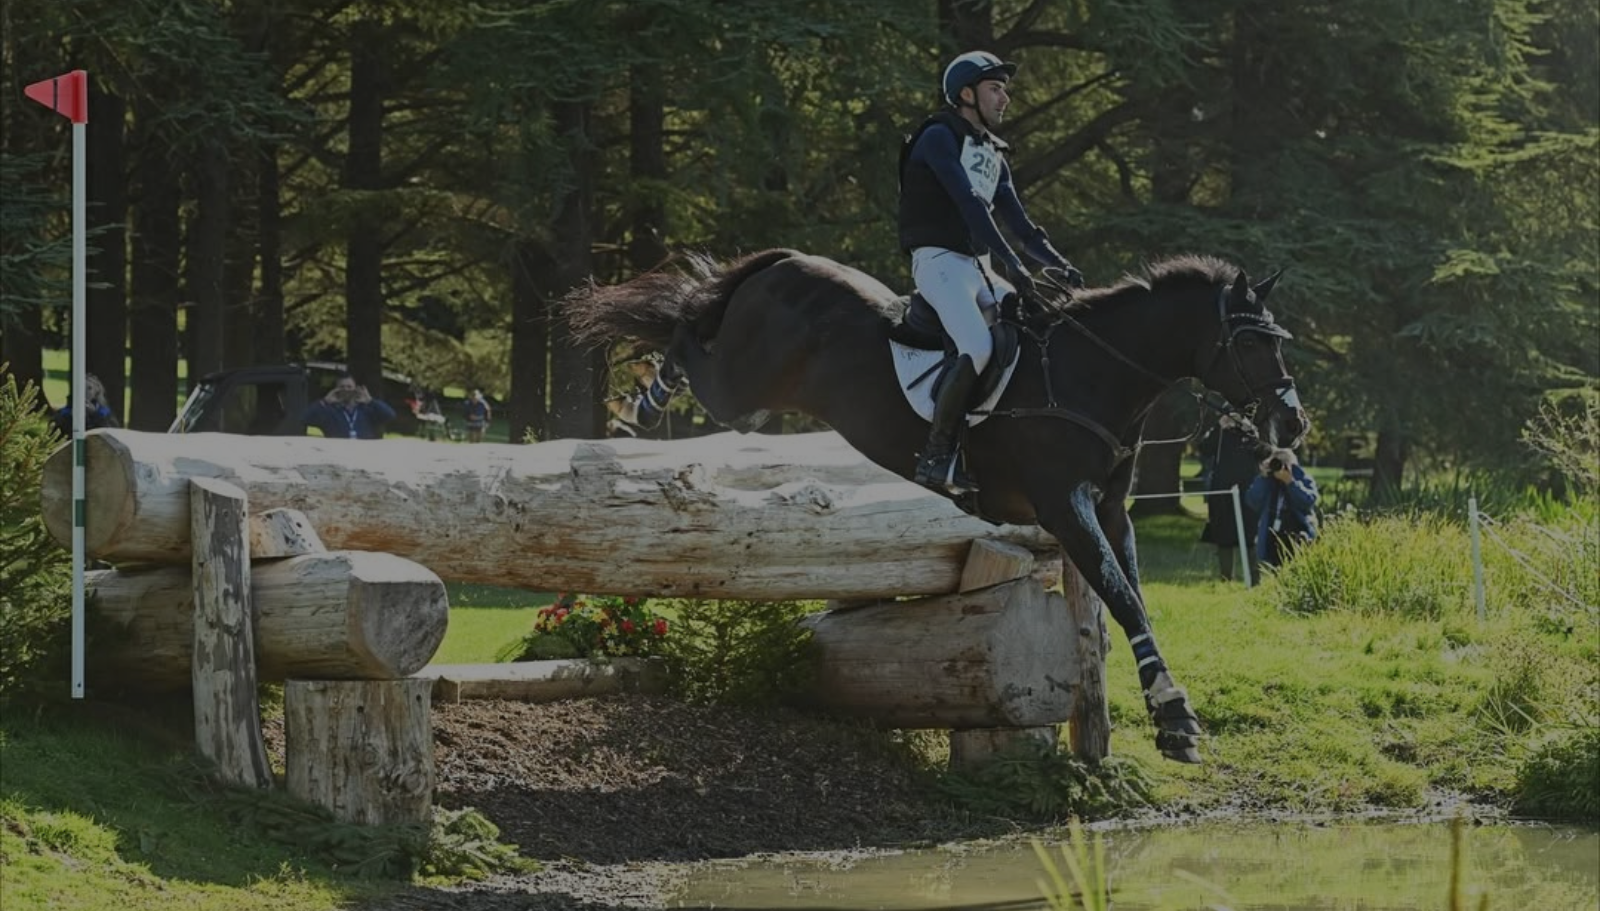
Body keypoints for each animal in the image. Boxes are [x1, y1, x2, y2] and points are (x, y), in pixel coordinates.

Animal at [562, 249, 1310, 763]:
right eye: (1252, 341)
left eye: (1277, 339)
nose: (1294, 424)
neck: (1093, 374)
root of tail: (784, 260)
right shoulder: (1063, 506)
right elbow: (1123, 599)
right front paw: (1176, 715)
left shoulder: (1110, 510)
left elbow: (1135, 602)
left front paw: (1169, 717)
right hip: (741, 386)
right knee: (687, 332)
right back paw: (635, 411)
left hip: (756, 392)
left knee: (694, 318)